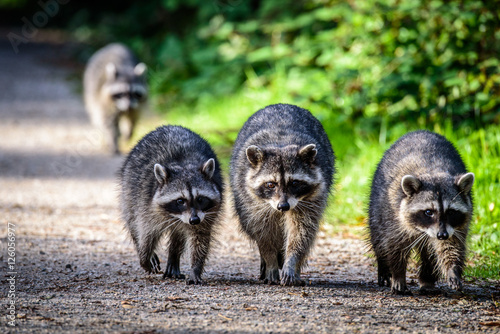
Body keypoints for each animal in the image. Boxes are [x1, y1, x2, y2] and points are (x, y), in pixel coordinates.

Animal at [119, 125, 223, 284]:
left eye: (200, 199)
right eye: (180, 201)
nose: (194, 220)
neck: (184, 165)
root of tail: (171, 126)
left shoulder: (206, 214)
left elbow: (199, 238)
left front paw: (195, 268)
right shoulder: (145, 203)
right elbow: (146, 231)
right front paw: (145, 255)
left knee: (178, 235)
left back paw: (173, 257)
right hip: (129, 188)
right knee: (132, 220)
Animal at [230, 103, 336, 286]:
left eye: (294, 183)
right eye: (270, 184)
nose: (283, 206)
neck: (281, 144)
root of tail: (281, 104)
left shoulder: (311, 199)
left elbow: (301, 232)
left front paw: (292, 262)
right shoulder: (252, 203)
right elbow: (263, 234)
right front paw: (271, 261)